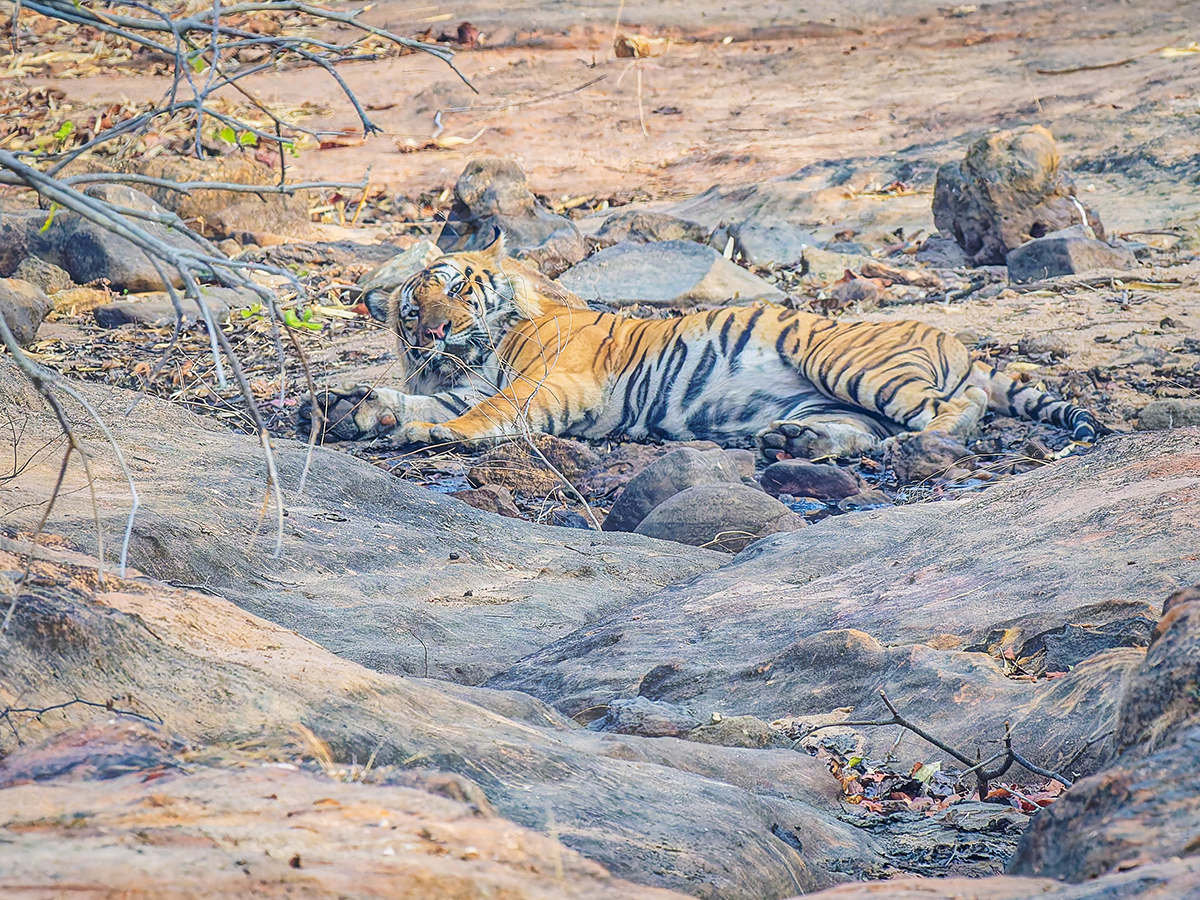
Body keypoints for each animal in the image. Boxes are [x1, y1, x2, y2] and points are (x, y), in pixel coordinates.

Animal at [308, 234, 1100, 462]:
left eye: (451, 289)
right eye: (412, 310)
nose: (429, 333)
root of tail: (949, 333)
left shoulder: (547, 382)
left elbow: (483, 412)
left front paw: (439, 432)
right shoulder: (464, 378)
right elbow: (422, 399)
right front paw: (356, 406)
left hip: (847, 362)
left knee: (960, 405)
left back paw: (927, 442)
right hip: (833, 394)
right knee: (863, 429)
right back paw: (796, 443)